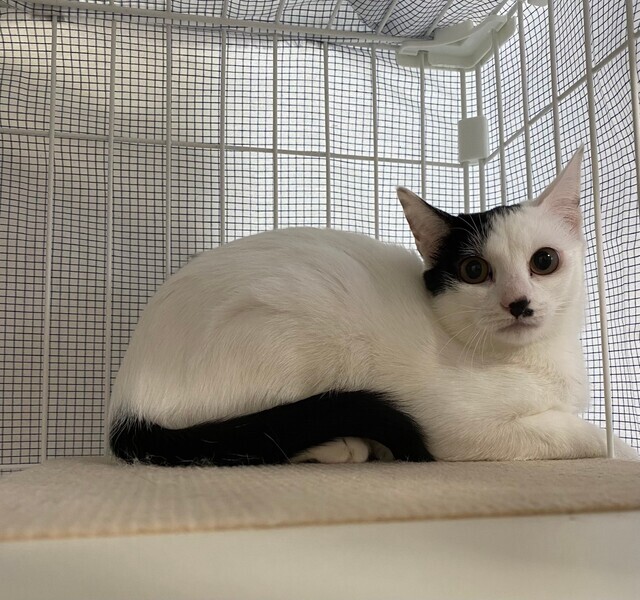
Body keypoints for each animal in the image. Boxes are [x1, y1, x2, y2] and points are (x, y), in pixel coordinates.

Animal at [108, 148, 638, 465]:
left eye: (544, 261)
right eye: (474, 271)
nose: (518, 303)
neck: (532, 360)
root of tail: (124, 401)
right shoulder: (456, 429)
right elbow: (577, 433)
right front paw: (619, 447)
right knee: (258, 441)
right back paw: (348, 444)